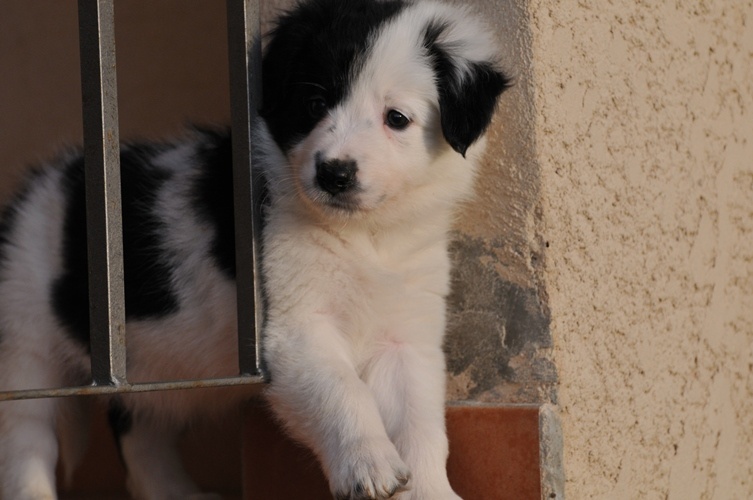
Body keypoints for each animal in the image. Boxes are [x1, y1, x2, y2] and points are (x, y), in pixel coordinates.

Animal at [0, 0, 508, 500]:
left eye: (397, 119)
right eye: (314, 104)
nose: (334, 174)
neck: (367, 235)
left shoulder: (405, 336)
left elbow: (421, 425)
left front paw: (430, 490)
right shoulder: (296, 327)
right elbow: (343, 390)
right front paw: (367, 462)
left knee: (139, 430)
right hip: (26, 344)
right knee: (27, 441)